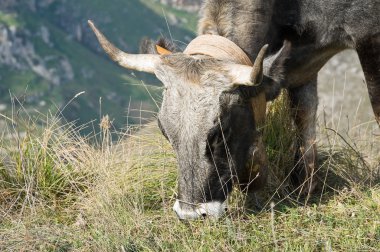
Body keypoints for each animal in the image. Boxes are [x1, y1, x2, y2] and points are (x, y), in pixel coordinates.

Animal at [87, 0, 378, 220]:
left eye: (219, 131)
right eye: (164, 130)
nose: (191, 214)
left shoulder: (368, 34)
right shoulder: (301, 64)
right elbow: (303, 116)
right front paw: (306, 188)